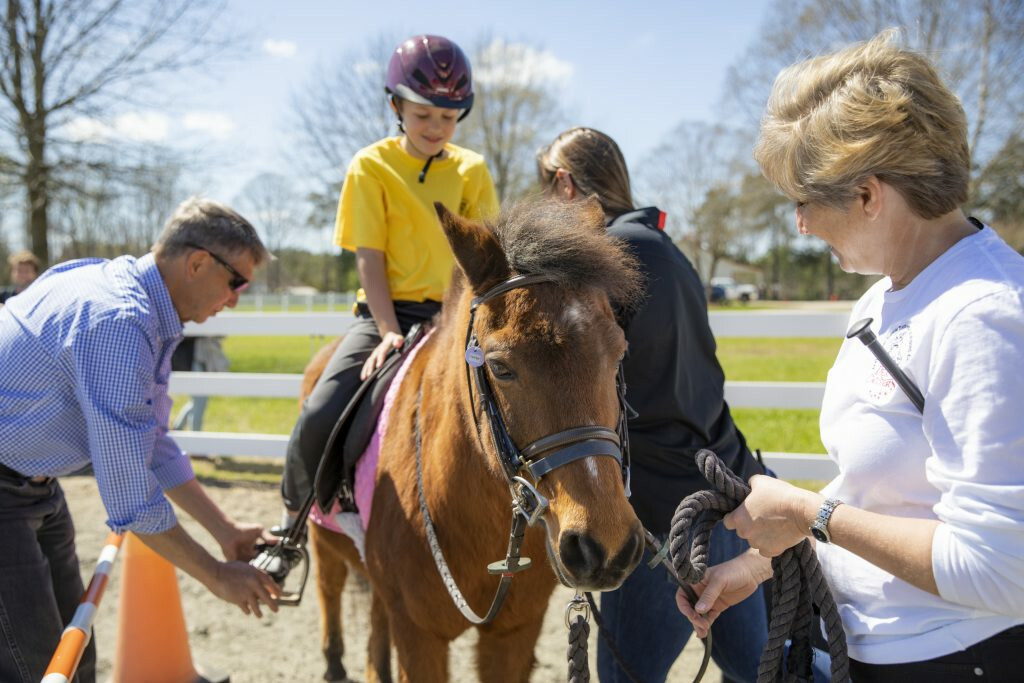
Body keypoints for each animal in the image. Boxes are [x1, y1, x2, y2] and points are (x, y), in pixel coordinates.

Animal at [303, 198, 643, 683]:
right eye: (500, 367)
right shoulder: (420, 636)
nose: (605, 546)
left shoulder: (513, 635)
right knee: (328, 589)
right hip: (322, 539)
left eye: (618, 353)